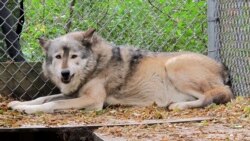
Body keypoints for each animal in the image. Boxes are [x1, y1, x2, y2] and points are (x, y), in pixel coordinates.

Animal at [7, 28, 234, 114]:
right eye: (58, 57)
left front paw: (28, 110)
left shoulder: (93, 101)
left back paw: (179, 105)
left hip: (174, 65)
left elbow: (53, 103)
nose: (65, 74)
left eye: (73, 56)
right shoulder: (72, 93)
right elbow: (43, 98)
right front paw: (18, 104)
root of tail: (222, 65)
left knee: (220, 94)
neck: (95, 65)